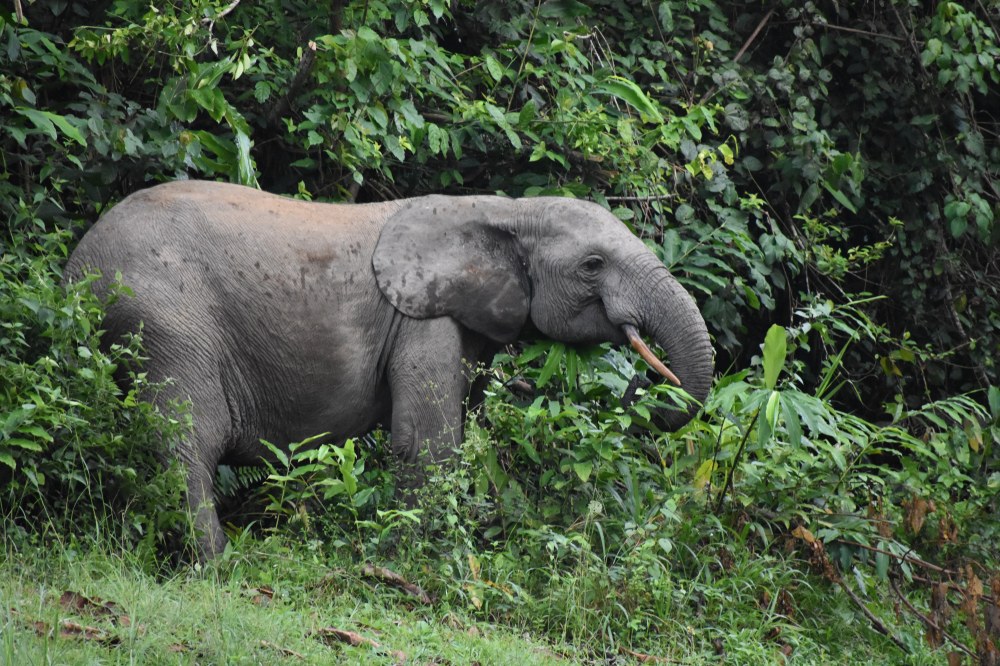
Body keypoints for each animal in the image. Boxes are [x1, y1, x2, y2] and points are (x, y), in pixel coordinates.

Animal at [64, 180, 714, 557]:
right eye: (592, 264)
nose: (655, 384)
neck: (507, 211)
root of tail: (76, 267)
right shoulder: (420, 316)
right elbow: (429, 442)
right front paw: (415, 562)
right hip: (161, 318)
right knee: (184, 438)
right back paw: (218, 564)